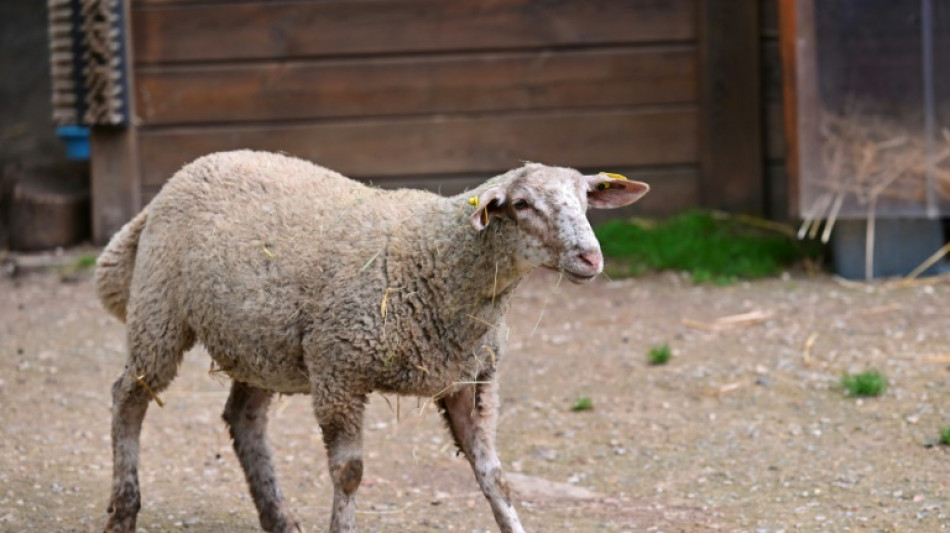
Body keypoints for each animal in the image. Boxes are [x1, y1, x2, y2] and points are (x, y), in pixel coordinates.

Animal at [95, 151, 648, 532]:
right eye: (522, 204)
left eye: (585, 200)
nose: (591, 258)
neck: (436, 258)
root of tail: (179, 177)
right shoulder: (339, 370)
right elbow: (350, 474)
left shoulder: (468, 380)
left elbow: (495, 475)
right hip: (159, 314)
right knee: (128, 397)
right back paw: (124, 510)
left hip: (261, 342)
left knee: (243, 418)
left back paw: (279, 517)